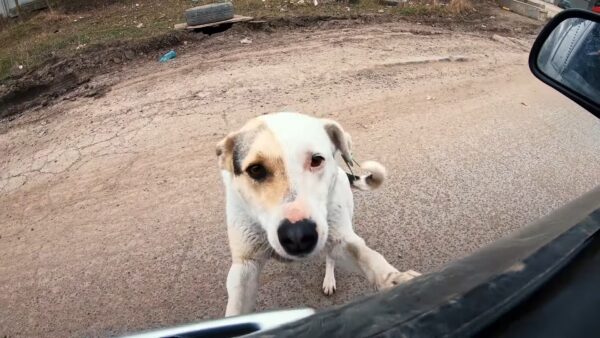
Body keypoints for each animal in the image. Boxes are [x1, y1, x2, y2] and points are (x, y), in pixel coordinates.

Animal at [216, 112, 418, 316]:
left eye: (316, 160)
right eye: (256, 169)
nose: (298, 235)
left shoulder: (342, 241)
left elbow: (368, 257)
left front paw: (396, 278)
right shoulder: (245, 266)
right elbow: (236, 308)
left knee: (330, 257)